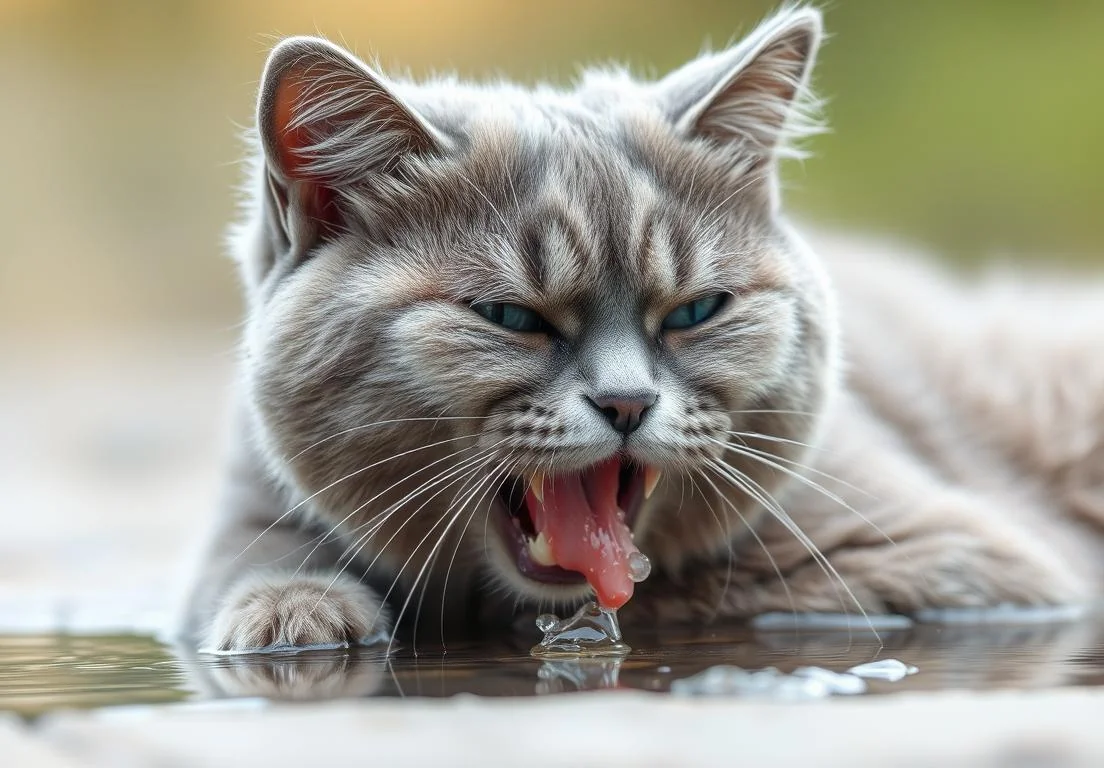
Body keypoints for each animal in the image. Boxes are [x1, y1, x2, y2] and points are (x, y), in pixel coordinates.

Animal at [181, 4, 1104, 653]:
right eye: (510, 317)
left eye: (695, 311)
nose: (627, 403)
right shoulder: (246, 505)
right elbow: (253, 563)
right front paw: (294, 611)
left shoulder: (954, 558)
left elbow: (695, 589)